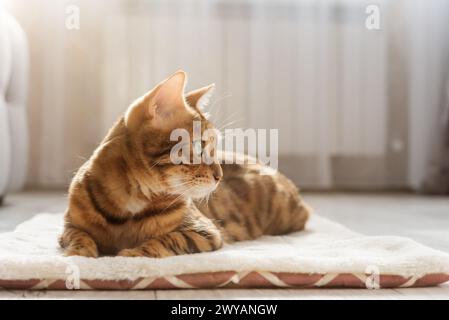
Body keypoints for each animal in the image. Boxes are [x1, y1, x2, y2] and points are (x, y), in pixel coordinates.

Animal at [59, 70, 310, 258]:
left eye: (215, 147)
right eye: (199, 146)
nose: (219, 175)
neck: (129, 202)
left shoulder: (204, 232)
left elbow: (165, 240)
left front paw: (130, 254)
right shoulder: (69, 226)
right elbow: (78, 237)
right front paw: (79, 254)